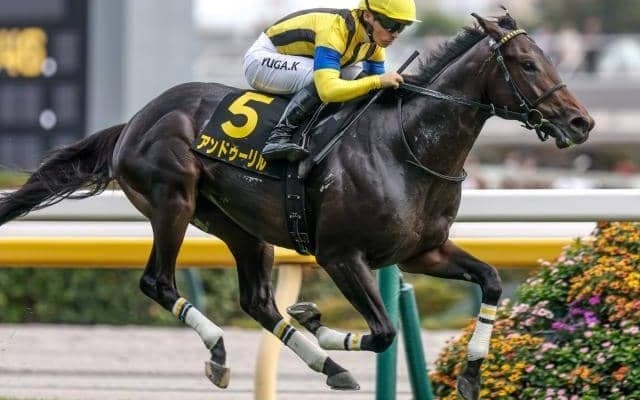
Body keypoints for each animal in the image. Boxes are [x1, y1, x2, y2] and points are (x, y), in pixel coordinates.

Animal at [0, 11, 593, 400]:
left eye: (545, 58)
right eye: (526, 63)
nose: (581, 121)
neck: (405, 146)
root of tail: (136, 120)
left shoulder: (423, 252)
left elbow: (490, 281)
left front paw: (471, 375)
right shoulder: (340, 255)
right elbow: (384, 331)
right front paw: (319, 319)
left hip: (239, 226)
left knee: (258, 302)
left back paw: (323, 363)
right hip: (173, 201)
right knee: (159, 282)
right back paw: (224, 351)